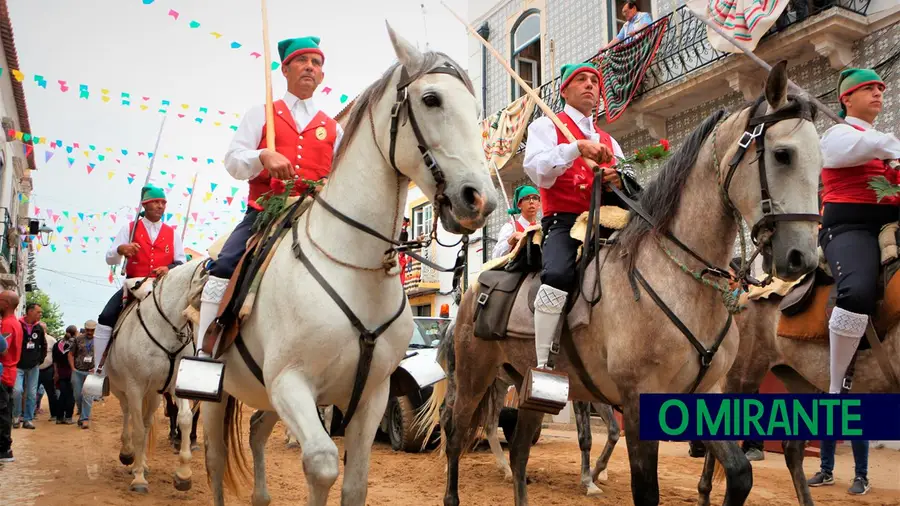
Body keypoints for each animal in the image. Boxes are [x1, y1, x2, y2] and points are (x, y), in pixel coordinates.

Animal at [104, 262, 207, 492]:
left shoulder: (176, 385)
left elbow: (184, 419)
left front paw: (183, 474)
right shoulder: (134, 387)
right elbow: (138, 430)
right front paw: (139, 479)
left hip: (153, 395)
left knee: (146, 421)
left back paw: (141, 463)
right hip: (122, 390)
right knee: (128, 415)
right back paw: (128, 454)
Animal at [180, 24, 496, 506]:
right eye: (431, 99)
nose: (479, 199)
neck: (355, 268)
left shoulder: (371, 395)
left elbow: (355, 482)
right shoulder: (291, 383)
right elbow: (323, 463)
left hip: (267, 399)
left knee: (255, 431)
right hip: (217, 390)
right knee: (215, 459)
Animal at [426, 63, 828, 506]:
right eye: (782, 154)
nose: (802, 258)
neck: (680, 280)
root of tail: (470, 293)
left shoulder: (703, 394)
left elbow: (740, 474)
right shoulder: (638, 402)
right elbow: (645, 489)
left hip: (532, 386)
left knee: (518, 454)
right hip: (475, 375)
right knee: (455, 432)